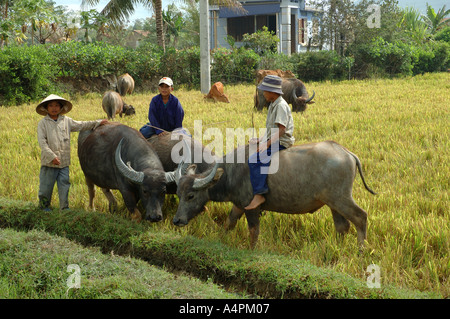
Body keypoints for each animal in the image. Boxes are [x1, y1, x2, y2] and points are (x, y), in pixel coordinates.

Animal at [172, 142, 376, 250]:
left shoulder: (251, 207)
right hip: (333, 202)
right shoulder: (239, 205)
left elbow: (253, 230)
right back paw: (336, 248)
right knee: (342, 226)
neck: (230, 172)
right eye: (179, 194)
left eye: (191, 196)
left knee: (361, 217)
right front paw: (220, 239)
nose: (177, 220)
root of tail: (346, 152)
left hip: (341, 199)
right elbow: (229, 223)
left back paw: (361, 250)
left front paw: (251, 249)